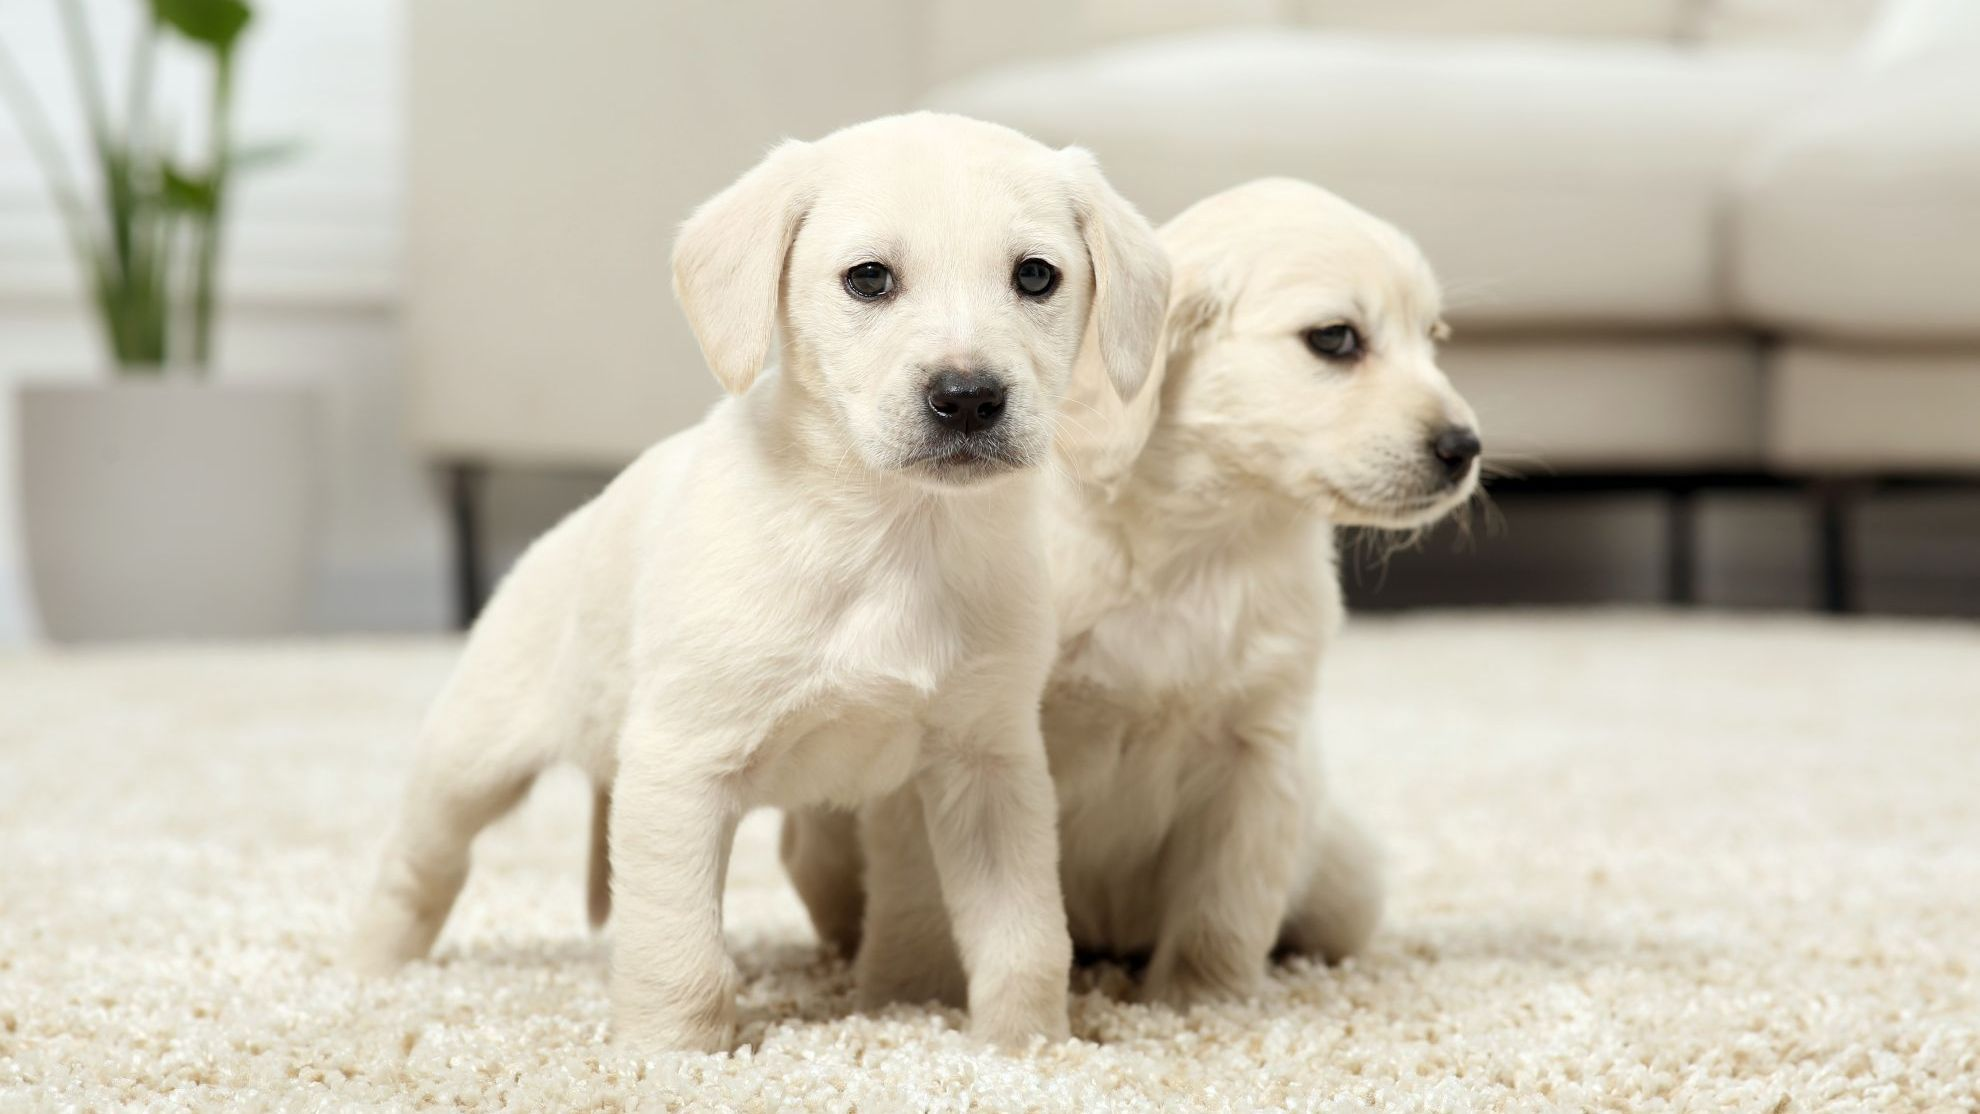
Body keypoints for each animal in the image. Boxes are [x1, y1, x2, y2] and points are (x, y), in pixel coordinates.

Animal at [348, 115, 1164, 1052]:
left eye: (1035, 275)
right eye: (869, 278)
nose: (966, 396)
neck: (893, 538)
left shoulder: (991, 766)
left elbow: (1024, 938)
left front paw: (1026, 1047)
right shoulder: (680, 766)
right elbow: (681, 955)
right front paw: (672, 1055)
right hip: (469, 760)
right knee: (418, 865)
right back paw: (370, 974)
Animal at [780, 176, 1481, 1013]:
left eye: (1433, 336)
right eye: (1336, 339)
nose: (1464, 448)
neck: (1197, 544)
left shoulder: (1258, 753)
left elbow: (1224, 914)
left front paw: (1200, 1006)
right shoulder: (962, 737)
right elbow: (920, 900)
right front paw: (907, 1004)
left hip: (1347, 880)